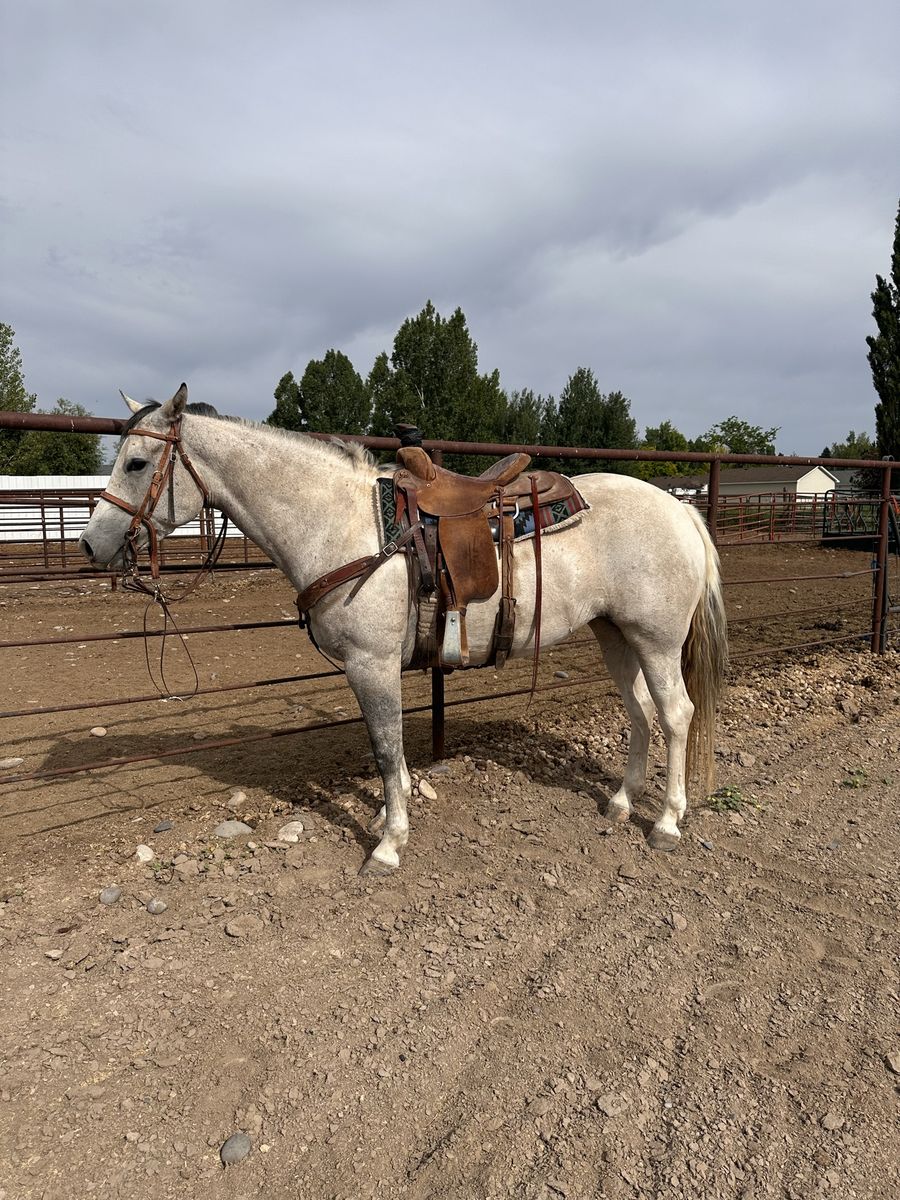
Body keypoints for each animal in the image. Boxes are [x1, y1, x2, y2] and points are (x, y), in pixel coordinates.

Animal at [79, 384, 728, 875]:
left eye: (137, 463)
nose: (90, 545)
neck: (342, 524)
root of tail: (680, 509)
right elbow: (385, 749)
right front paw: (385, 820)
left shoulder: (371, 664)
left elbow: (387, 748)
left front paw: (389, 844)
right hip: (616, 633)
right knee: (640, 710)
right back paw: (619, 802)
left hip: (657, 640)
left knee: (676, 714)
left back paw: (667, 821)